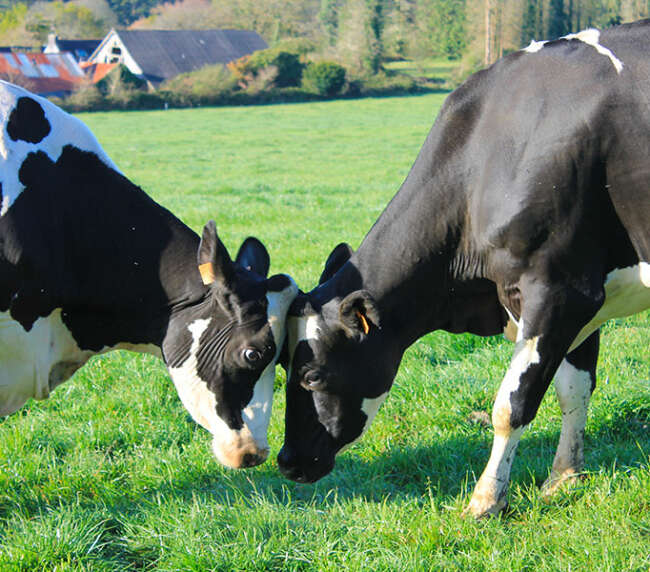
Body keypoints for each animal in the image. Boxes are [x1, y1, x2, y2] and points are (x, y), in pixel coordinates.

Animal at [278, 20, 648, 516]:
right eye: (282, 365)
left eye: (312, 375)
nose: (286, 461)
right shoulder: (586, 297)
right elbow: (574, 389)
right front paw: (564, 478)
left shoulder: (559, 292)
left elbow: (512, 404)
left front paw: (486, 499)